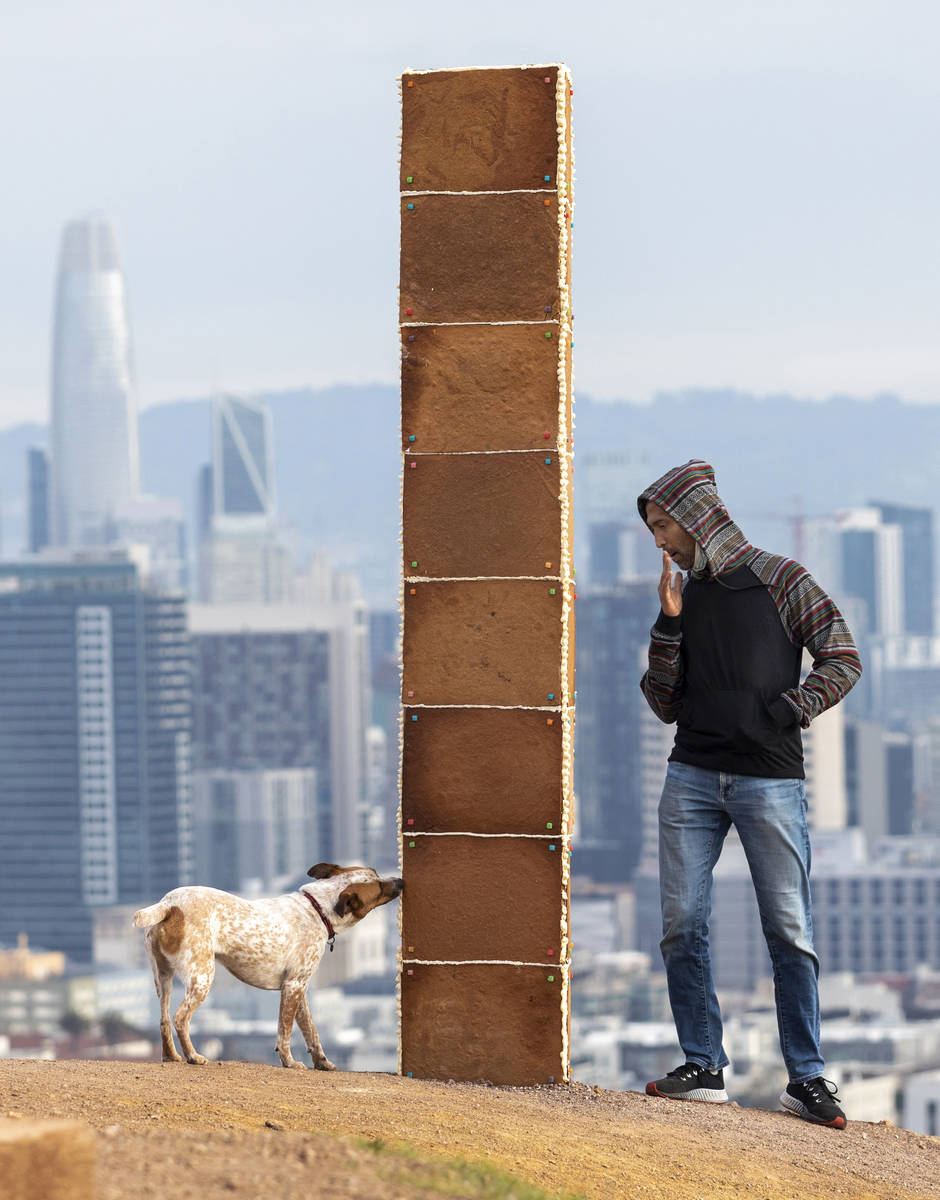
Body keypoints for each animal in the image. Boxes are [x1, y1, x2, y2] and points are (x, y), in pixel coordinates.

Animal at [132, 864, 400, 1070]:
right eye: (377, 886)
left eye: (376, 873)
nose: (400, 881)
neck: (317, 909)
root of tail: (169, 904)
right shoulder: (292, 986)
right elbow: (285, 1032)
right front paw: (289, 1062)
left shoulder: (300, 988)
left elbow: (311, 1031)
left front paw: (322, 1062)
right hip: (202, 977)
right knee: (180, 1018)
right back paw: (192, 1056)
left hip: (162, 978)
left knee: (164, 1020)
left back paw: (171, 1056)